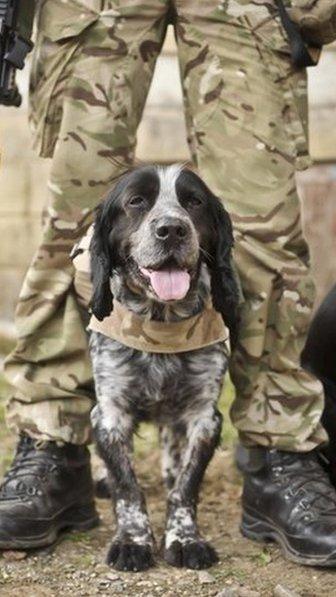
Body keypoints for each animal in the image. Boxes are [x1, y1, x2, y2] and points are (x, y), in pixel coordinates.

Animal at [86, 162, 239, 568]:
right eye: (136, 201)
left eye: (194, 202)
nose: (172, 229)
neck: (161, 322)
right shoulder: (110, 413)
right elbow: (127, 487)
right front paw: (133, 541)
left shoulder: (204, 415)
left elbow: (186, 485)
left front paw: (185, 539)